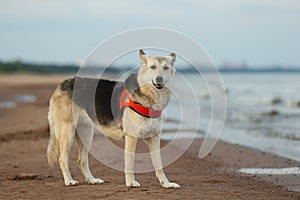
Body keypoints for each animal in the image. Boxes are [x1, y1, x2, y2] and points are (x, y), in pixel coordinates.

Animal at [46, 49, 179, 188]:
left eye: (166, 67)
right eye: (152, 67)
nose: (159, 79)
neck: (150, 96)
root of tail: (63, 83)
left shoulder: (154, 138)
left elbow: (159, 165)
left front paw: (166, 183)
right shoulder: (131, 138)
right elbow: (130, 164)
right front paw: (130, 182)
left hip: (86, 135)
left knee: (81, 161)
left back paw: (92, 180)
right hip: (67, 134)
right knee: (62, 160)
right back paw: (69, 180)